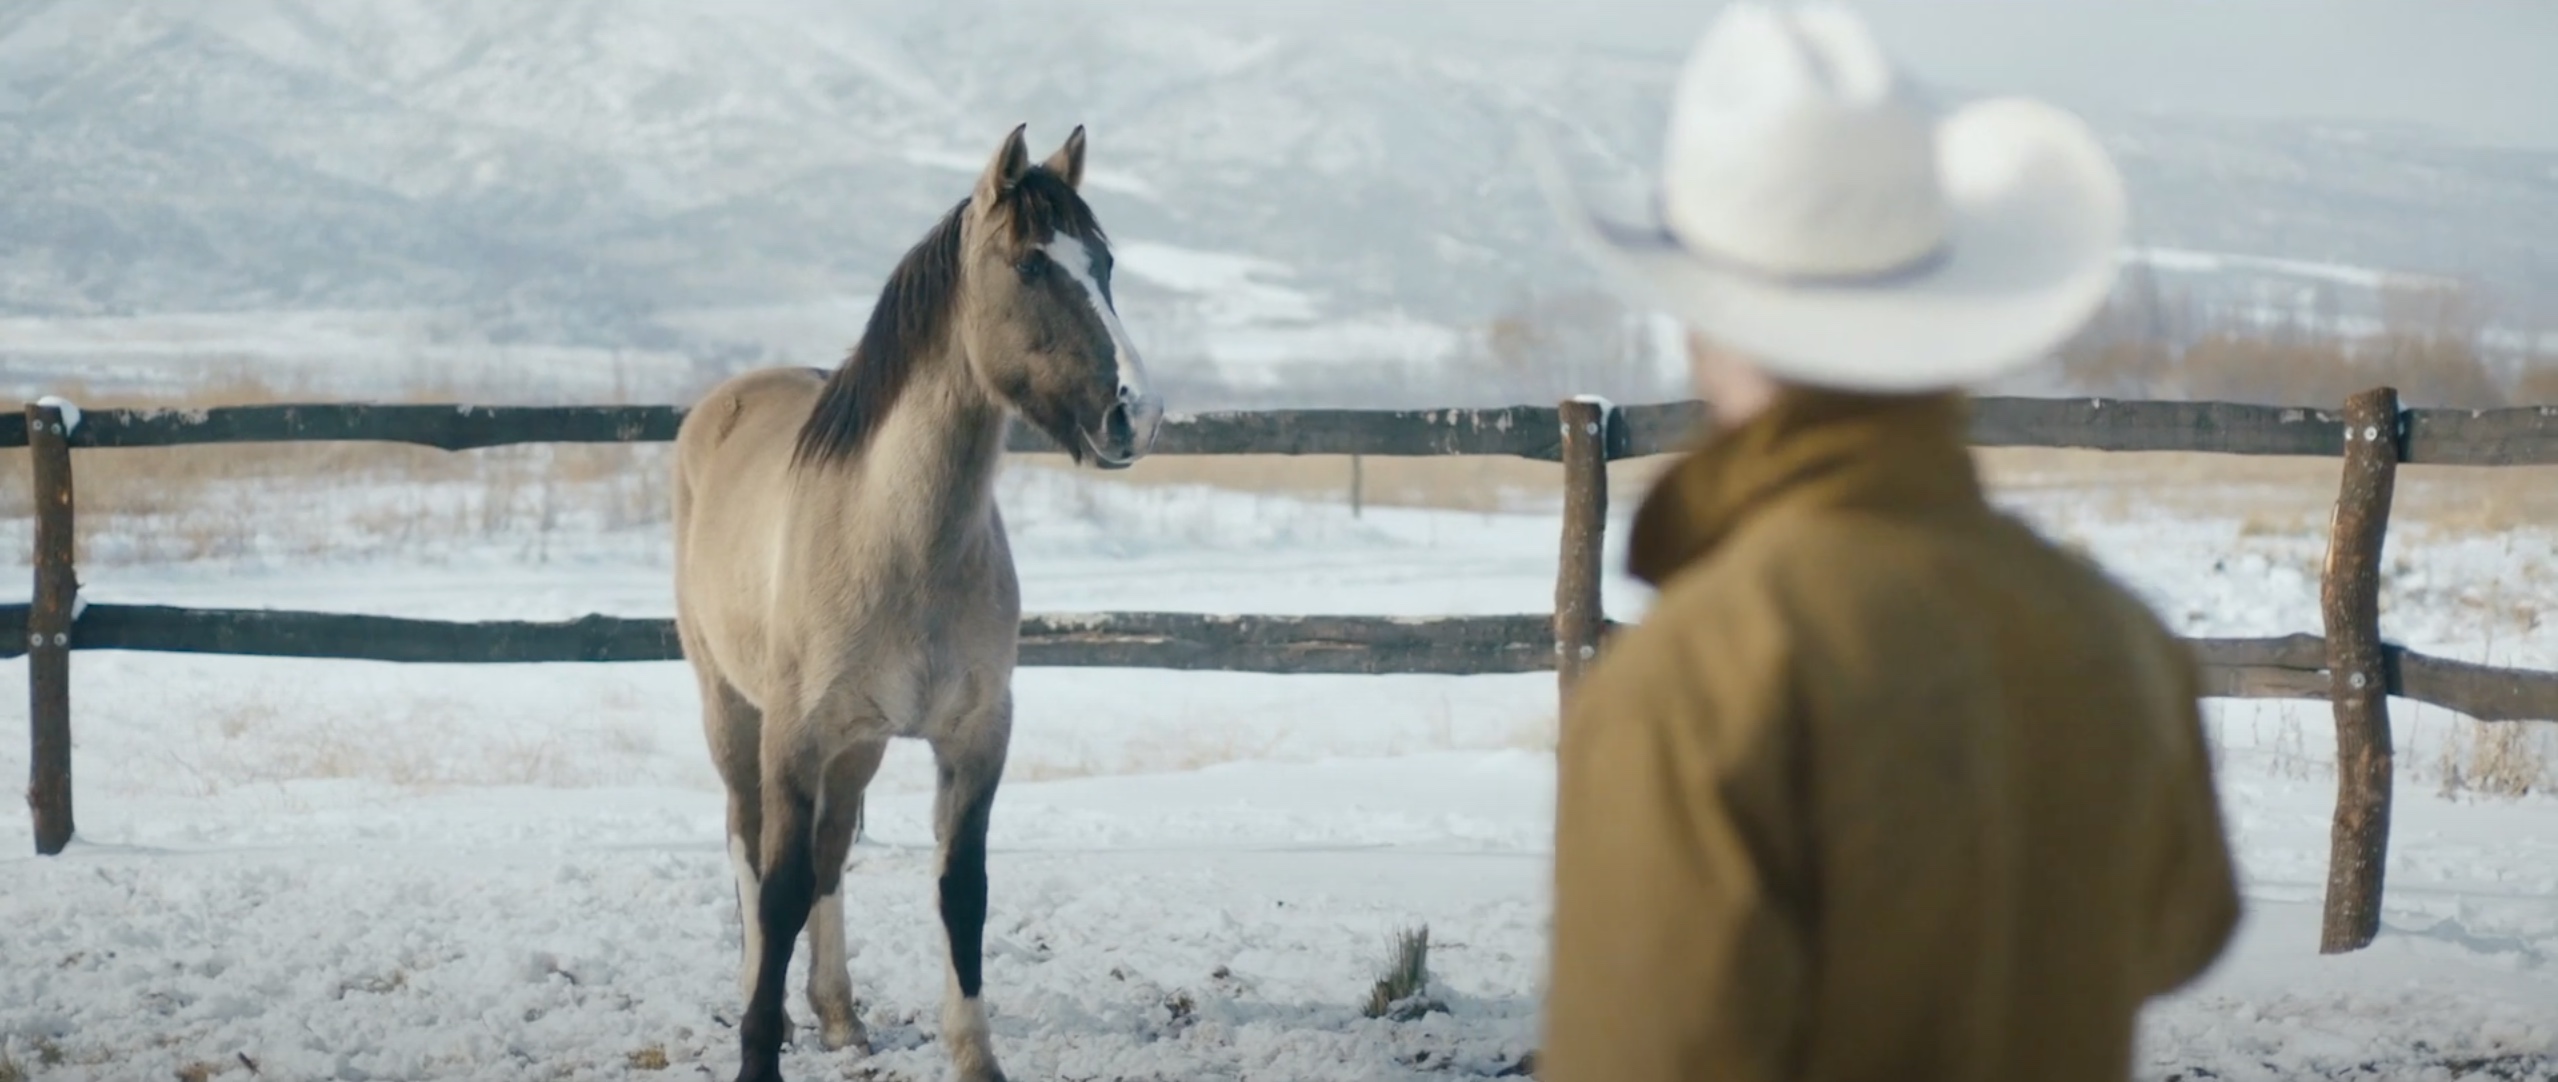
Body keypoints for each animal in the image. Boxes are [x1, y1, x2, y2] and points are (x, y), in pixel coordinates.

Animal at [675, 127, 1166, 1082]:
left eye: (1105, 262)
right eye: (1029, 265)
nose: (1137, 413)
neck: (899, 542)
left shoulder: (975, 737)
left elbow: (959, 890)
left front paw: (975, 1058)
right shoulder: (792, 737)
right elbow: (779, 888)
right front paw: (758, 1051)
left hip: (859, 744)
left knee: (831, 854)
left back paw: (838, 1018)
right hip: (730, 710)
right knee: (749, 844)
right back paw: (766, 1004)